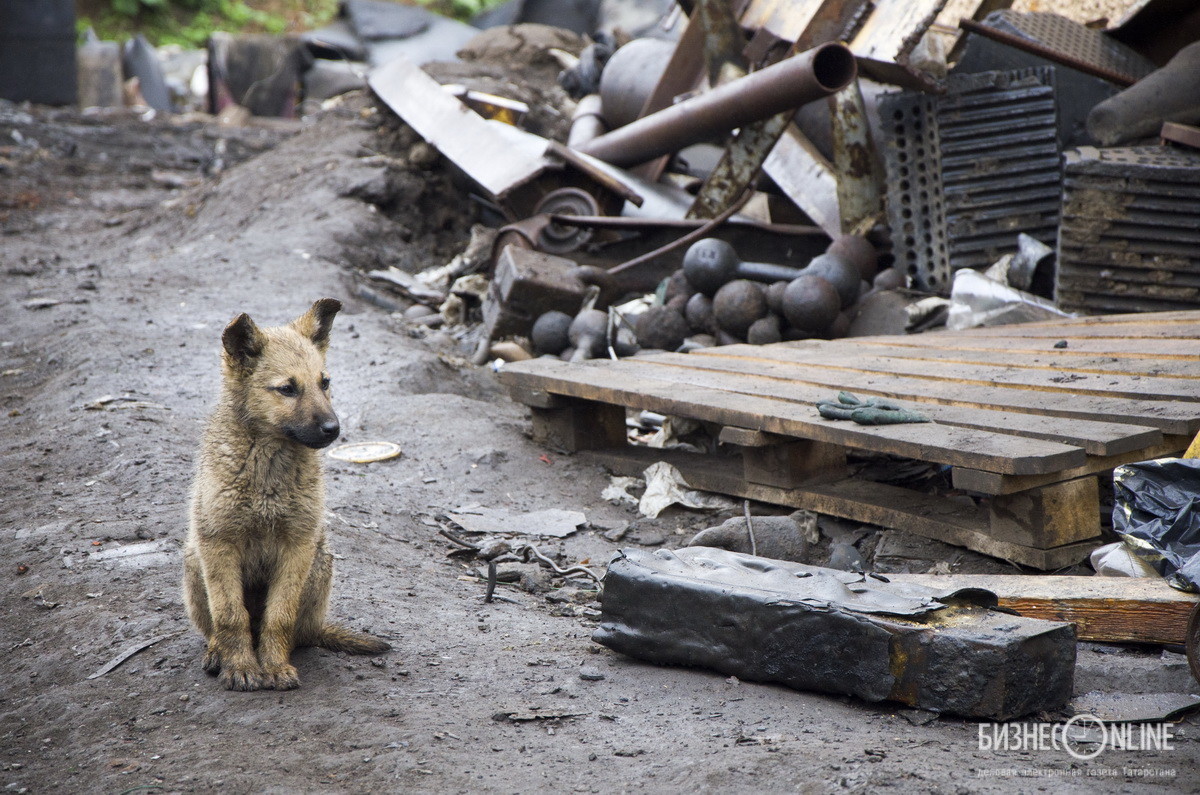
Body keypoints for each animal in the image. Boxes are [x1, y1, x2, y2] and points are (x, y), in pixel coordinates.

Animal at [182, 299, 388, 691]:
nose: (333, 429)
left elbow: (279, 615)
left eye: (325, 383)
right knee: (219, 625)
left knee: (296, 632)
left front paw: (274, 667)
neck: (268, 463)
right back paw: (217, 651)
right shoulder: (219, 542)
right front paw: (241, 667)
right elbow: (230, 614)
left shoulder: (298, 544)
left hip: (320, 565)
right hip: (193, 562)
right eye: (287, 389)